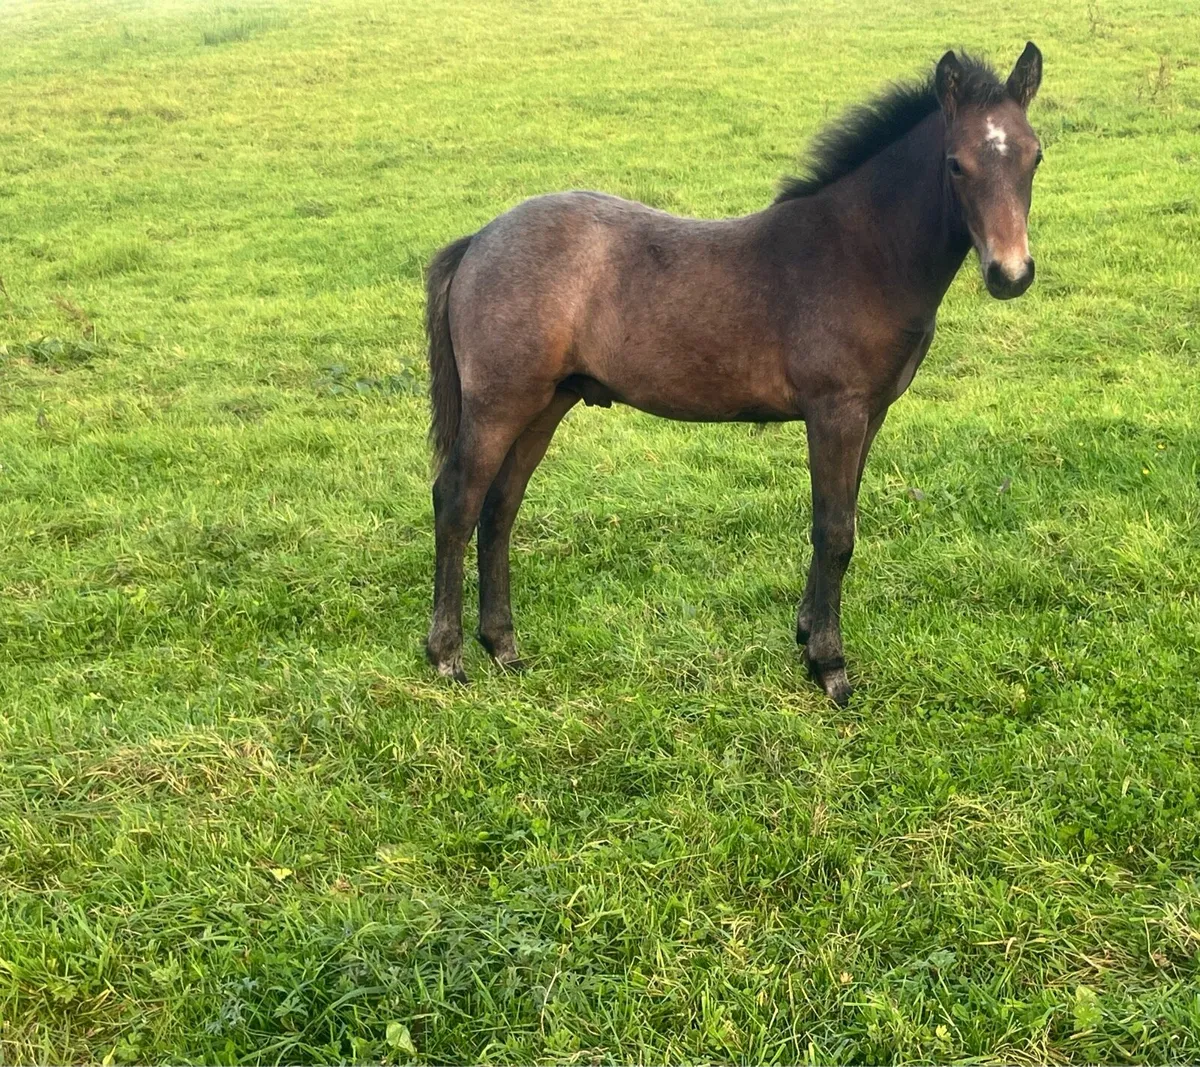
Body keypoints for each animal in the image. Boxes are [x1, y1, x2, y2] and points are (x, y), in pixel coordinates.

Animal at [423, 44, 1044, 705]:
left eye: (1035, 155)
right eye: (956, 164)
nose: (1010, 274)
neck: (860, 255)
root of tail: (478, 240)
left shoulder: (869, 415)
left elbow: (840, 521)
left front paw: (806, 635)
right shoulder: (835, 412)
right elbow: (834, 531)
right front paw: (830, 666)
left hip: (545, 405)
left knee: (500, 507)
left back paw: (503, 648)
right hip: (499, 404)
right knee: (457, 501)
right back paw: (447, 656)